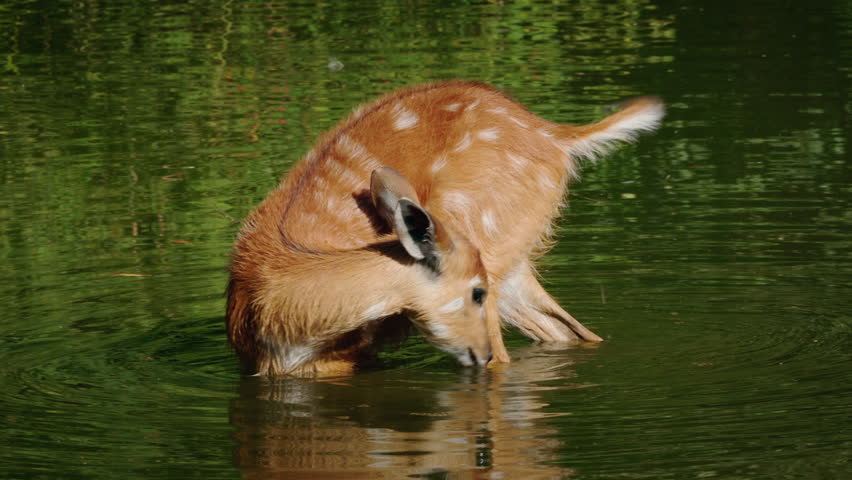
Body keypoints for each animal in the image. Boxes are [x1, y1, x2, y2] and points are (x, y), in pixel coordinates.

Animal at [226, 81, 664, 376]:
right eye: (473, 292)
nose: (480, 355)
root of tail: (557, 137)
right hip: (510, 262)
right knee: (566, 330)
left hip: (483, 231)